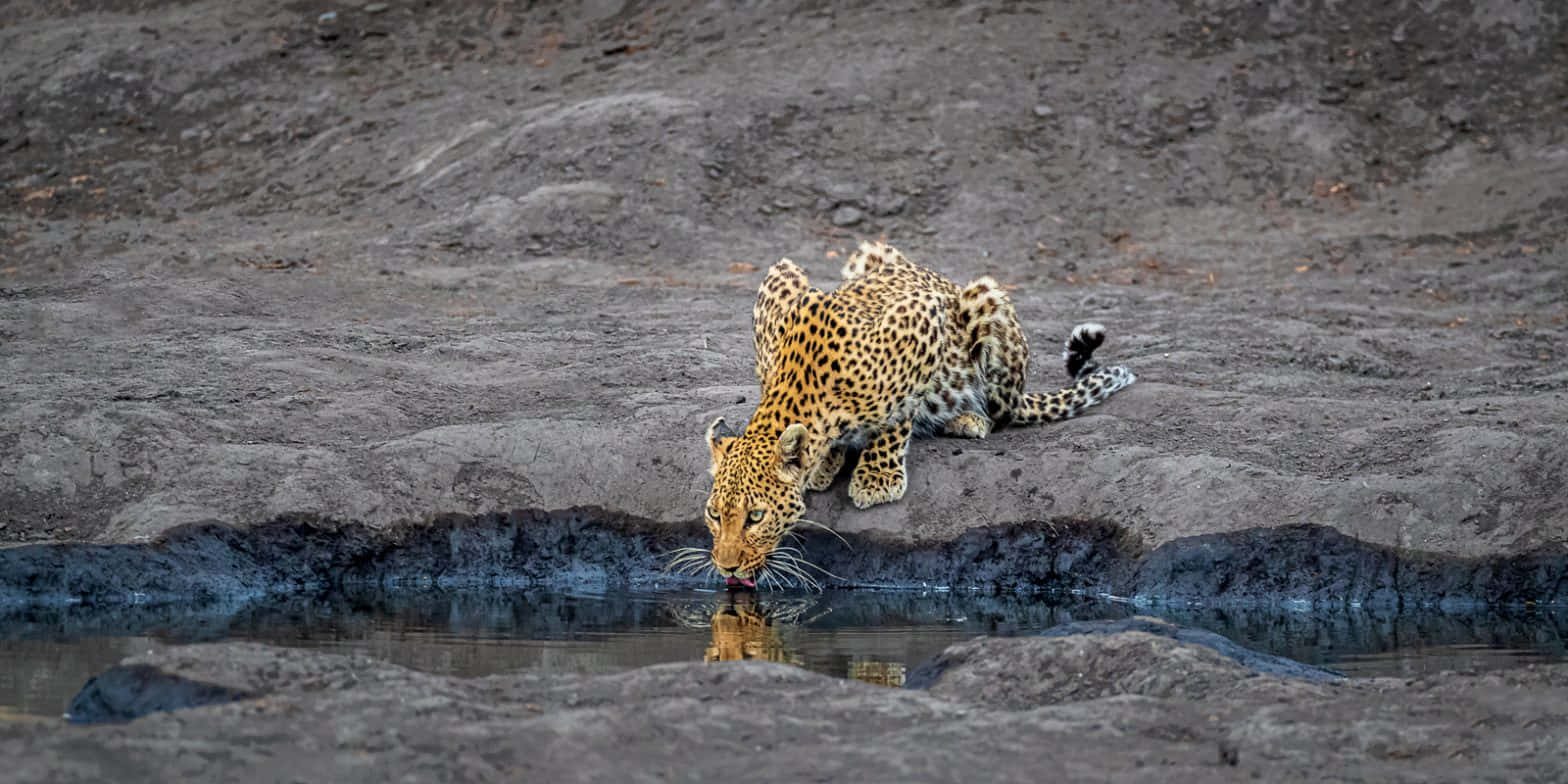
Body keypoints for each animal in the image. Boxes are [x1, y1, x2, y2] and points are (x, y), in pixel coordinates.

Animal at [699, 240, 1135, 589]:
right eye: (714, 514)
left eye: (756, 517)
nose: (726, 567)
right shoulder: (779, 283)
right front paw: (826, 462)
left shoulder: (920, 317)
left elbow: (898, 413)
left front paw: (876, 477)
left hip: (986, 304)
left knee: (1002, 410)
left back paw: (968, 419)